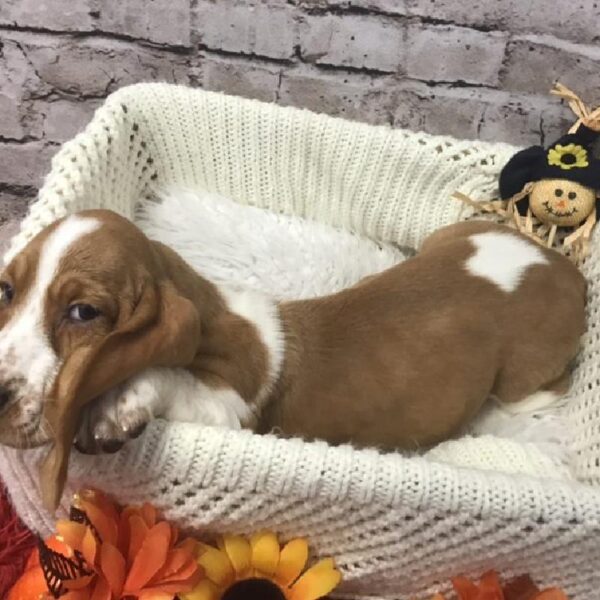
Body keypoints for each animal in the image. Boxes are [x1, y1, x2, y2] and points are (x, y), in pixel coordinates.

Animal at [0, 211, 584, 506]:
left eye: (84, 312)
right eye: (7, 290)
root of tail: (560, 263)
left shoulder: (230, 411)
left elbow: (168, 376)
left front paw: (117, 403)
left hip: (523, 384)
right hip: (449, 237)